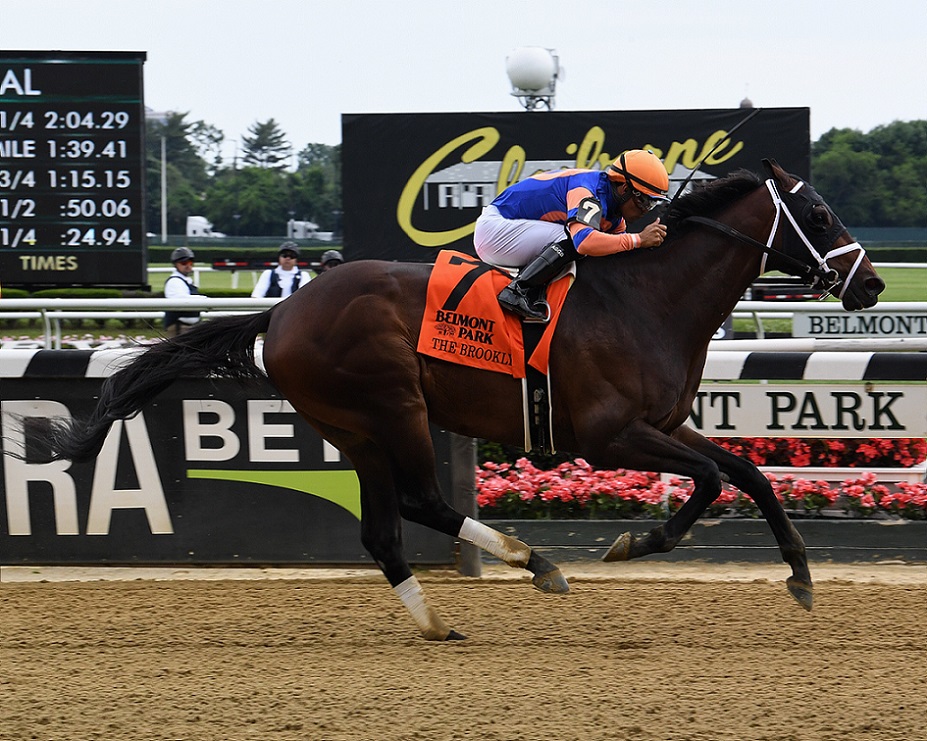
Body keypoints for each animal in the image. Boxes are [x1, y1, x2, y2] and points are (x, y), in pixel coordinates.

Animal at [31, 159, 885, 640]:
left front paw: (800, 575)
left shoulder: (664, 422)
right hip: (392, 408)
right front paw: (633, 542)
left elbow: (748, 475)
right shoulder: (608, 434)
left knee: (382, 529)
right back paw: (529, 559)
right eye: (817, 215)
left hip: (352, 427)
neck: (645, 298)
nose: (871, 283)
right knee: (419, 502)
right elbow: (708, 481)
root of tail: (285, 309)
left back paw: (440, 620)